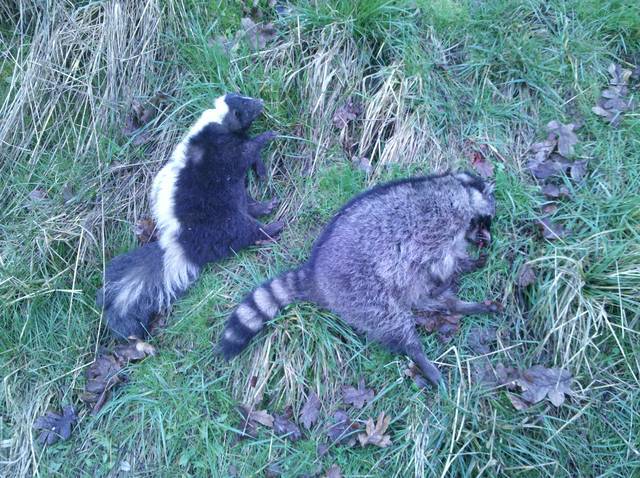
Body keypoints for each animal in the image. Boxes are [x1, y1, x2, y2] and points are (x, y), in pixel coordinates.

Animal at [98, 94, 283, 339]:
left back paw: (267, 207)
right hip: (220, 220)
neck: (219, 123)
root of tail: (182, 242)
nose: (260, 102)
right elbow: (244, 153)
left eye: (246, 98)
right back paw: (273, 227)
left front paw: (261, 170)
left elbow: (249, 157)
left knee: (247, 205)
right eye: (246, 105)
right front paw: (267, 136)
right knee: (245, 231)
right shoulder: (221, 151)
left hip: (228, 202)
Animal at [217, 172, 499, 386]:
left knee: (425, 297)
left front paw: (465, 267)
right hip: (361, 290)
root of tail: (316, 274)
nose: (487, 237)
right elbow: (439, 260)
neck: (458, 187)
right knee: (394, 323)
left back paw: (464, 306)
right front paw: (455, 270)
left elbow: (440, 272)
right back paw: (420, 356)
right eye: (484, 222)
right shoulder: (440, 220)